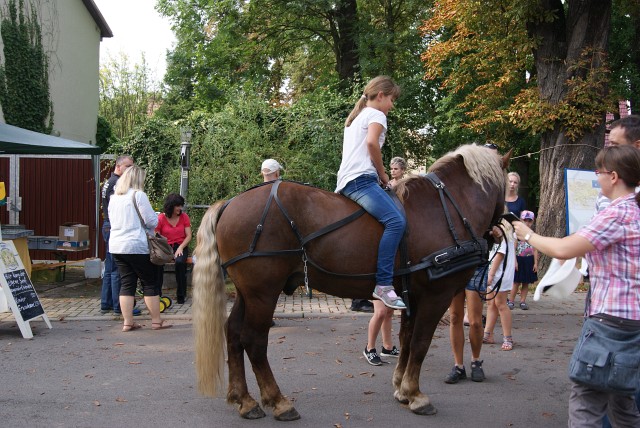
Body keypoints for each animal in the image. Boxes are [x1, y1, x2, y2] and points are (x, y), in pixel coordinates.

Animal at [192, 145, 508, 422]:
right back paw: (278, 402)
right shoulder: (435, 296)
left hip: (247, 293)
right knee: (254, 341)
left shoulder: (412, 296)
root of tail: (230, 203)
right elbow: (420, 343)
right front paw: (415, 394)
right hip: (263, 293)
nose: (499, 229)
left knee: (233, 334)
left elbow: (407, 340)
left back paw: (244, 400)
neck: (445, 209)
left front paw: (402, 388)